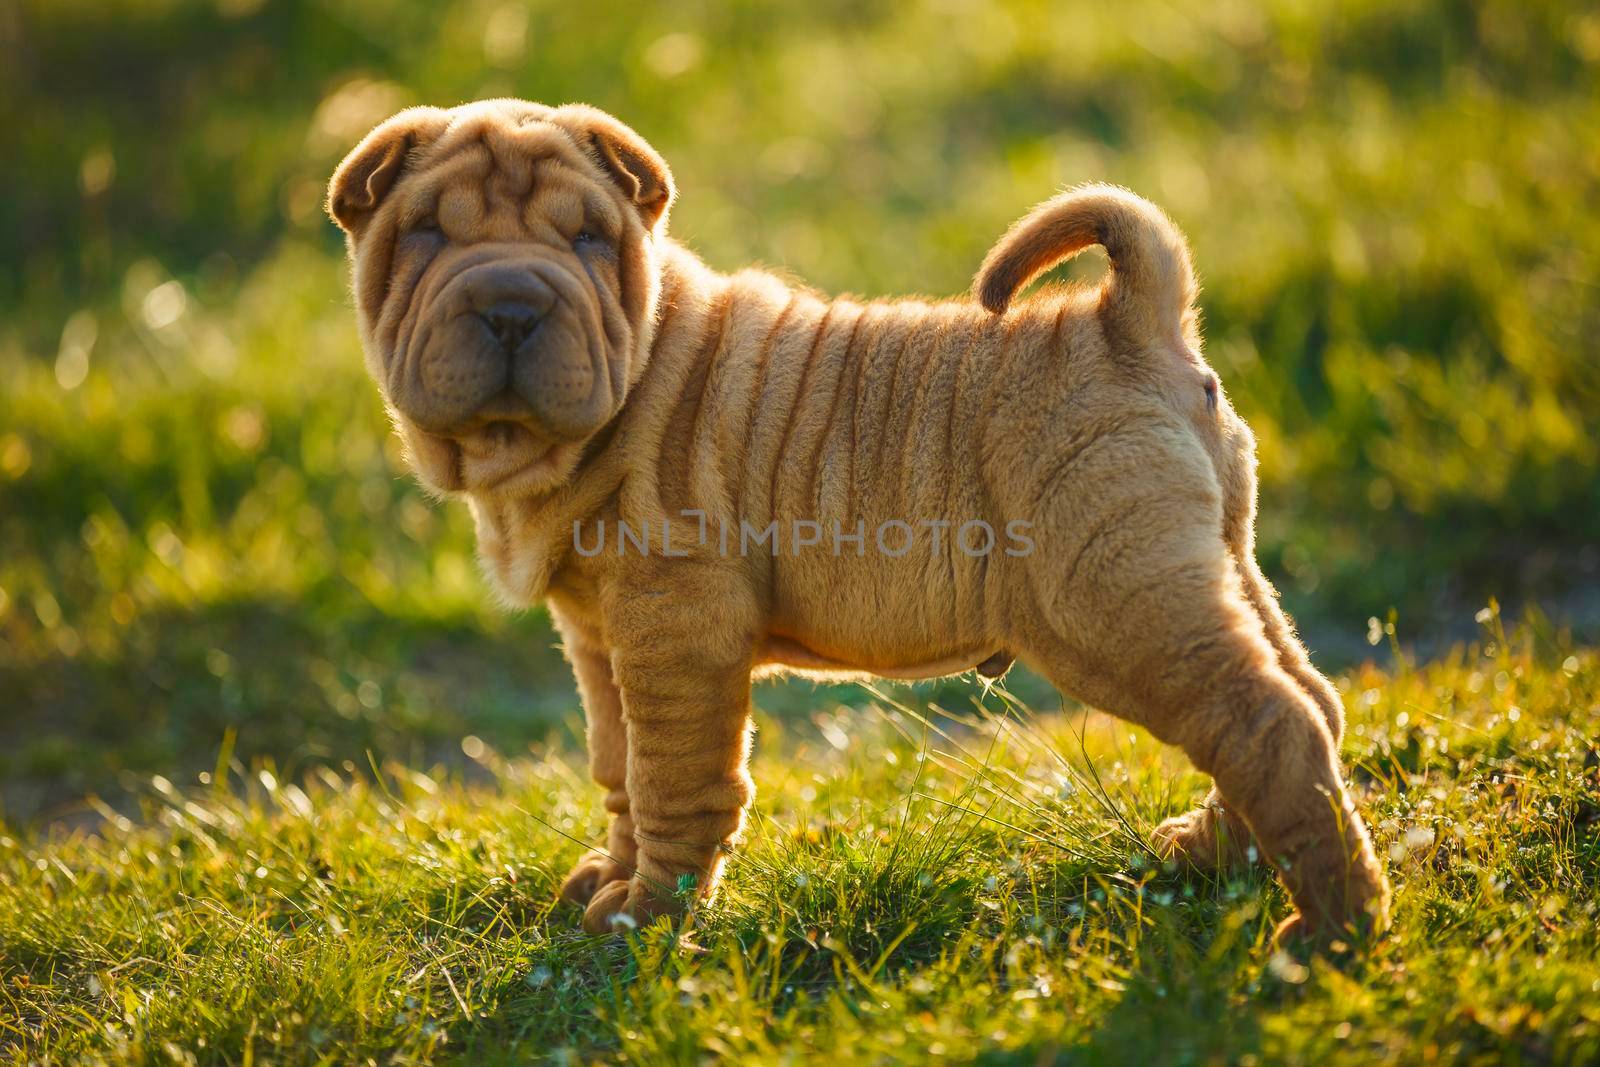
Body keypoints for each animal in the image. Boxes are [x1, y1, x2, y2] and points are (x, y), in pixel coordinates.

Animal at [328, 97, 1388, 940]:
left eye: (589, 238)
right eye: (425, 235)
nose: (510, 302)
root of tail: (1125, 318)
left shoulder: (677, 631)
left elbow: (676, 778)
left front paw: (649, 915)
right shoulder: (598, 639)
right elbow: (618, 763)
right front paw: (611, 878)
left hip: (1115, 600)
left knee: (1266, 720)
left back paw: (1332, 929)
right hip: (1213, 565)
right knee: (1308, 697)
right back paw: (1212, 853)